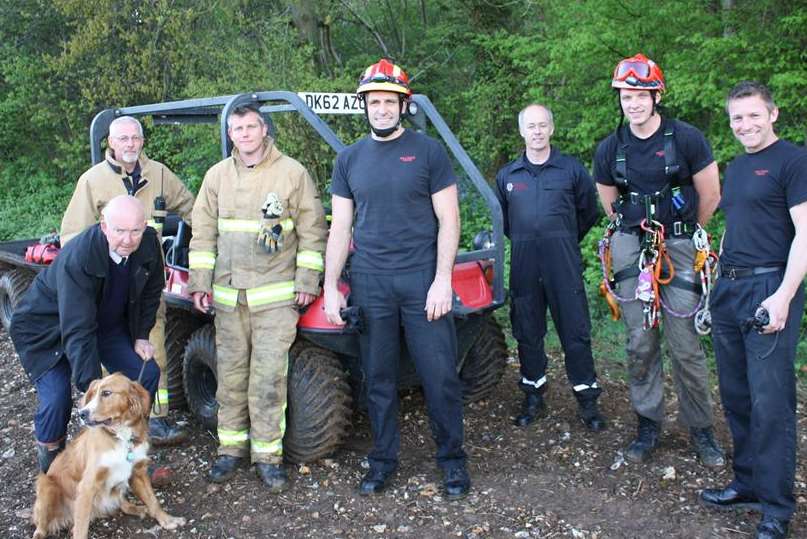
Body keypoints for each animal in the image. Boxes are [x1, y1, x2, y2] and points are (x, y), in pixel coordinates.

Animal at [32, 374, 186, 539]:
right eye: (91, 394)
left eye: (106, 393)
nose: (81, 414)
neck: (120, 436)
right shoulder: (87, 486)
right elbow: (81, 529)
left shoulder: (137, 472)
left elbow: (153, 500)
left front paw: (167, 519)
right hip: (46, 485)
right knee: (42, 526)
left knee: (122, 504)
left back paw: (138, 509)